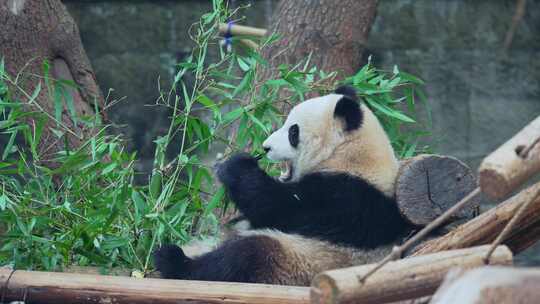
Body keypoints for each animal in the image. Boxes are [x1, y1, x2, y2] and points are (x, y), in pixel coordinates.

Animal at [154, 86, 416, 288]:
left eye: (293, 131)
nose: (266, 147)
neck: (351, 155)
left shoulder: (344, 197)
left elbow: (274, 206)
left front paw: (235, 165)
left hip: (294, 264)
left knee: (244, 256)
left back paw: (172, 259)